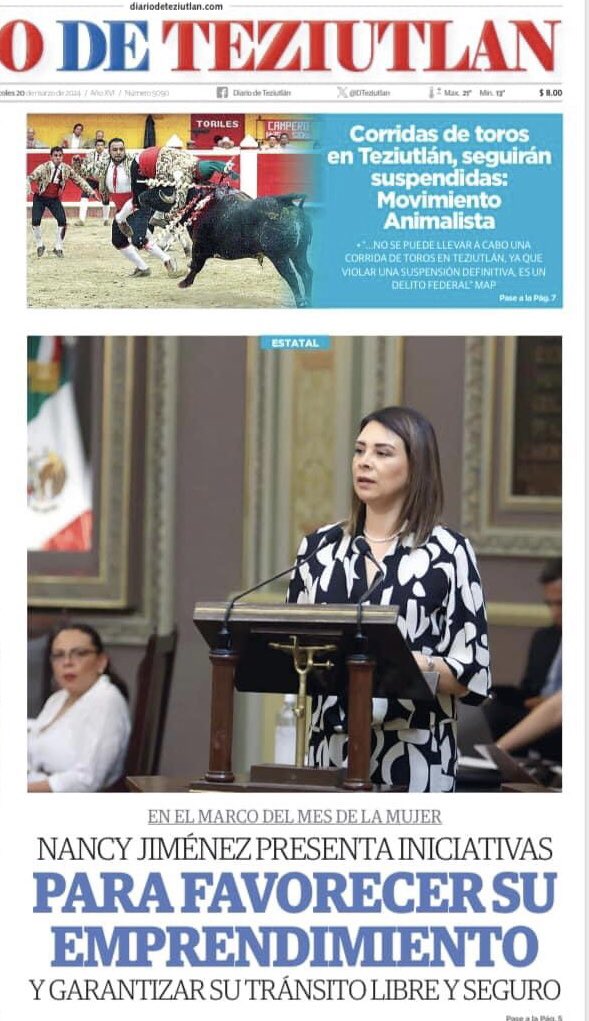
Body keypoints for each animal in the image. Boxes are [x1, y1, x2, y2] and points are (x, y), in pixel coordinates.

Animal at [127, 185, 314, 306]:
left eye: (160, 189)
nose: (140, 196)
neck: (200, 205)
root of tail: (289, 205)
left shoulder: (199, 247)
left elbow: (195, 265)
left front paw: (184, 283)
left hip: (279, 257)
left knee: (291, 276)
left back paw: (301, 302)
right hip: (299, 253)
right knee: (307, 272)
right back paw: (309, 299)